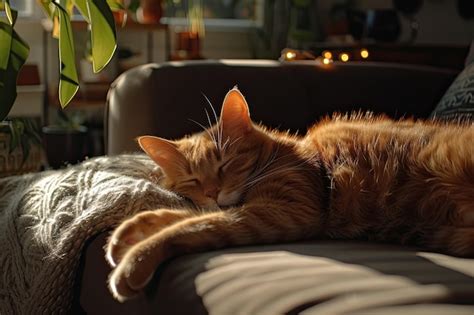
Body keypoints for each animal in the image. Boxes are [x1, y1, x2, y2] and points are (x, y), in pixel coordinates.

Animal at [106, 86, 474, 302]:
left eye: (225, 165)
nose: (213, 191)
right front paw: (131, 231)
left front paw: (135, 260)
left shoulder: (286, 211)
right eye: (192, 180)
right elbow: (192, 215)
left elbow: (196, 225)